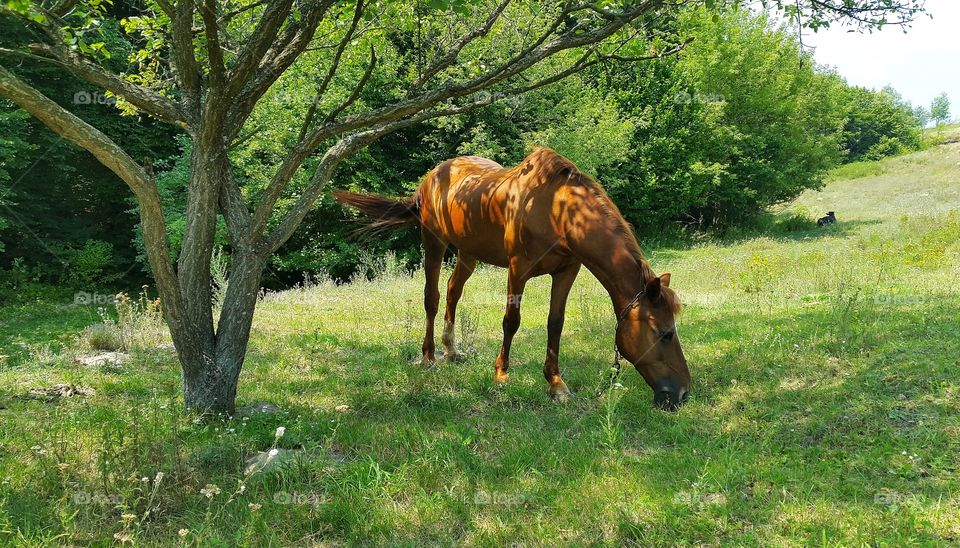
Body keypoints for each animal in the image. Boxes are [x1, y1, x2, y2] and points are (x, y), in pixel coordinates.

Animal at [336, 148, 688, 408]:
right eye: (665, 333)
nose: (682, 394)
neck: (557, 210)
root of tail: (433, 176)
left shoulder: (567, 271)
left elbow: (555, 323)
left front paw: (556, 384)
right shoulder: (518, 269)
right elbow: (511, 321)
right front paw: (501, 375)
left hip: (468, 253)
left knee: (452, 291)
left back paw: (452, 351)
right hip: (433, 242)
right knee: (432, 298)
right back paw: (429, 357)